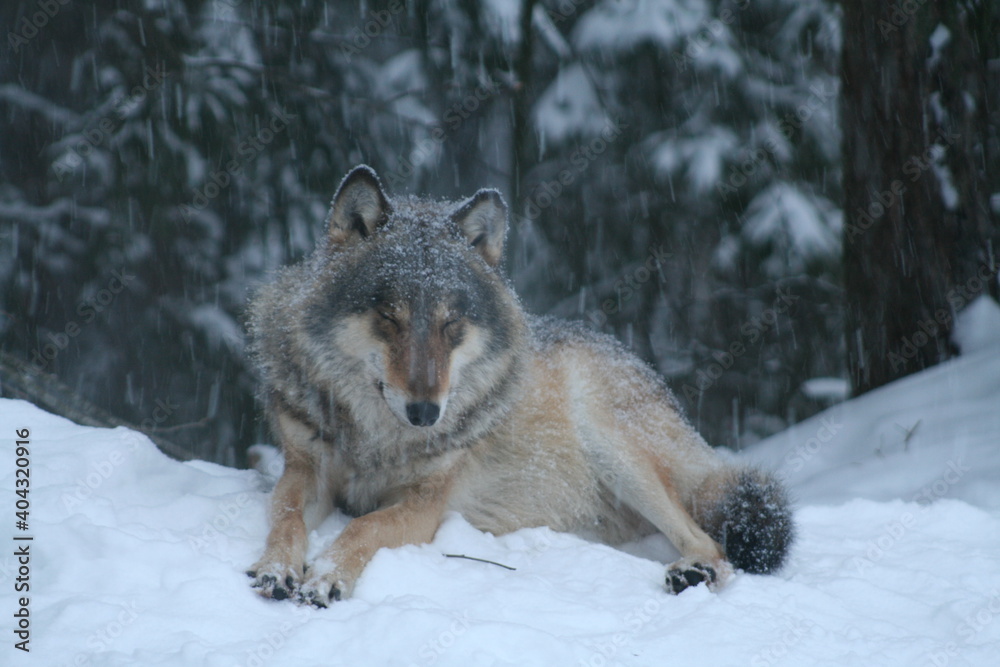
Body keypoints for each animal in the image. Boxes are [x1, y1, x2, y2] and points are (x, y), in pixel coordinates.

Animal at [246, 165, 793, 606]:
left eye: (450, 323)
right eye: (389, 317)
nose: (426, 414)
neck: (374, 437)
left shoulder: (426, 503)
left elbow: (365, 525)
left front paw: (327, 576)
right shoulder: (304, 469)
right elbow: (286, 515)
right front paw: (277, 568)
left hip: (615, 447)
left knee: (713, 544)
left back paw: (694, 572)